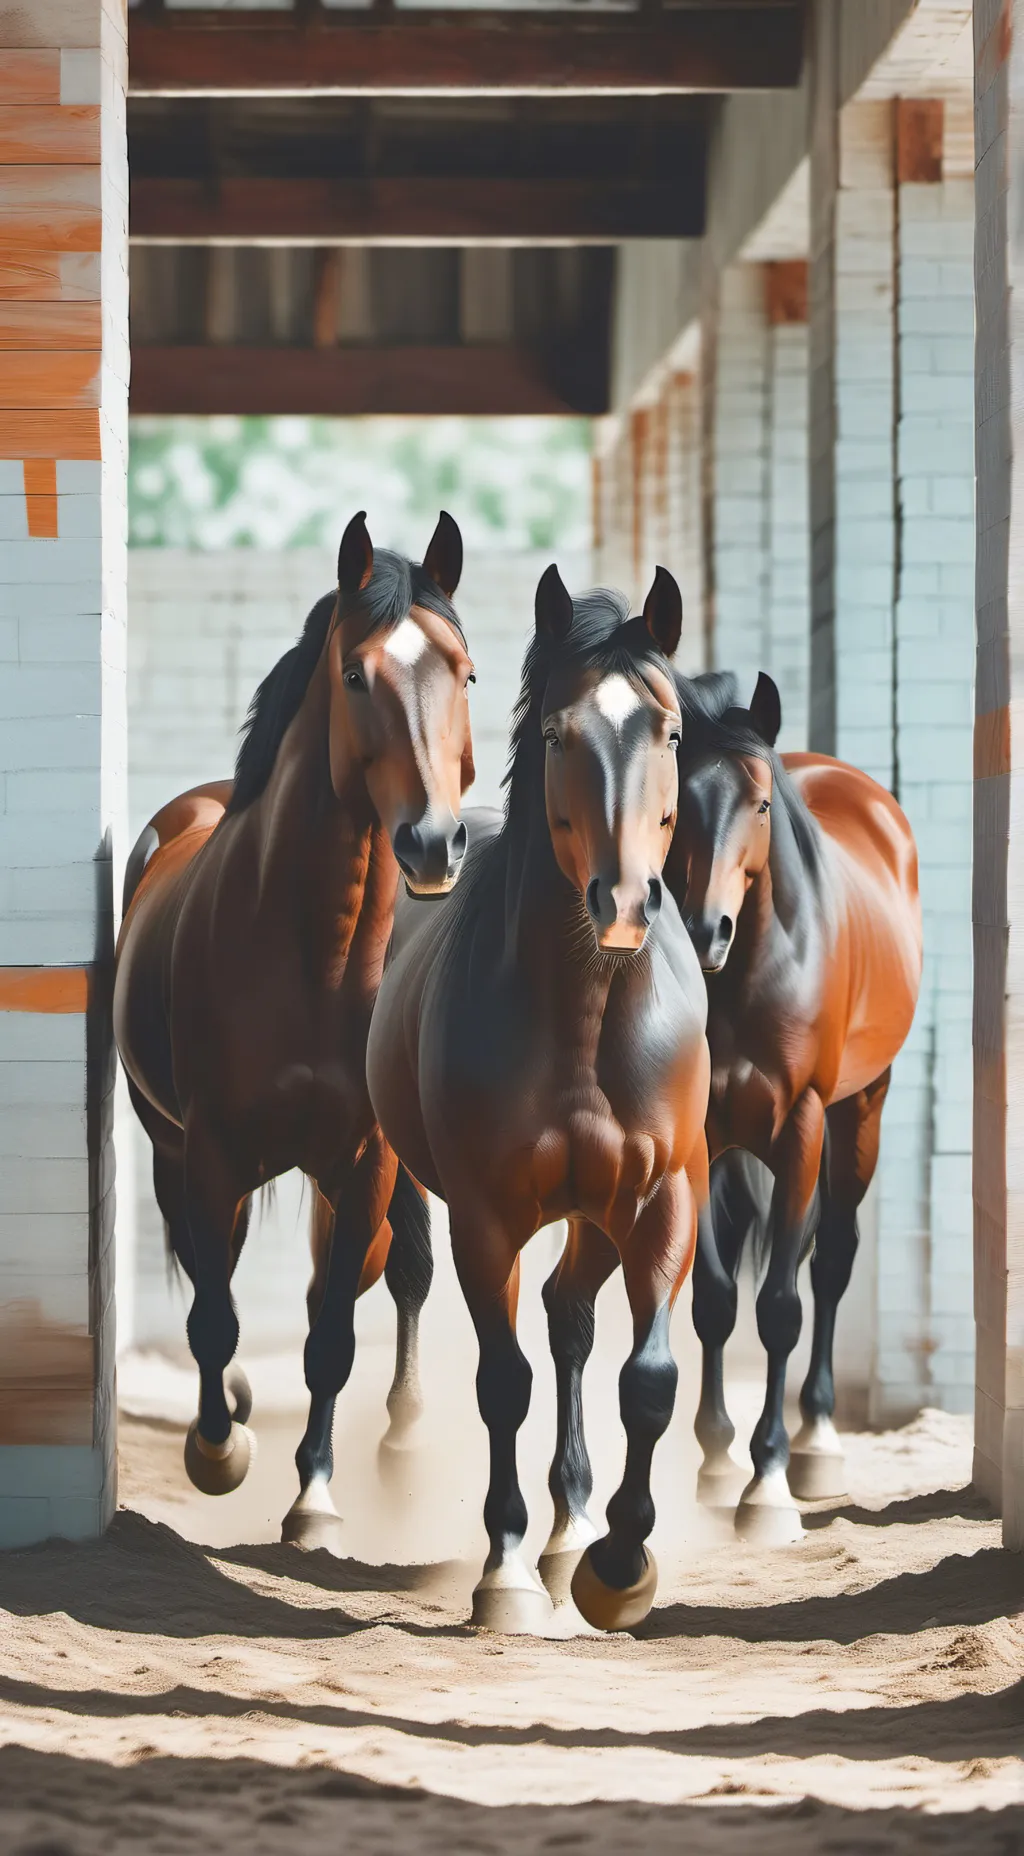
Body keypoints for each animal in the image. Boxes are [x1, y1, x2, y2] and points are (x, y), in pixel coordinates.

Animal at [114, 512, 475, 1550]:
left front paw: (315, 1496)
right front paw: (218, 1450)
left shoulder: (365, 1161)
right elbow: (214, 1311)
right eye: (354, 674)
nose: (432, 843)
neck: (316, 958)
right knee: (212, 1267)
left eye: (466, 673)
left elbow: (331, 1332)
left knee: (388, 1276)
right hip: (173, 1147)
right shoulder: (210, 1152)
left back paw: (401, 1437)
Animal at [366, 565, 710, 1633]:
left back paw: (574, 1535)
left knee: (571, 1319)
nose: (624, 903)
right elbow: (503, 1382)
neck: (587, 1020)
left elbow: (648, 1379)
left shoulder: (662, 1199)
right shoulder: (486, 1217)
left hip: (599, 1214)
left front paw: (619, 1566)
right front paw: (505, 1572)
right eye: (559, 733)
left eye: (670, 732)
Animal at [663, 669, 922, 1541]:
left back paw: (815, 1443)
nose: (706, 929)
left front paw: (767, 1481)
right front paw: (715, 1464)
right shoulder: (701, 1139)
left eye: (761, 804)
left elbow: (781, 1305)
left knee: (832, 1260)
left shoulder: (803, 1126)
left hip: (859, 1109)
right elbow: (713, 1300)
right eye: (678, 799)